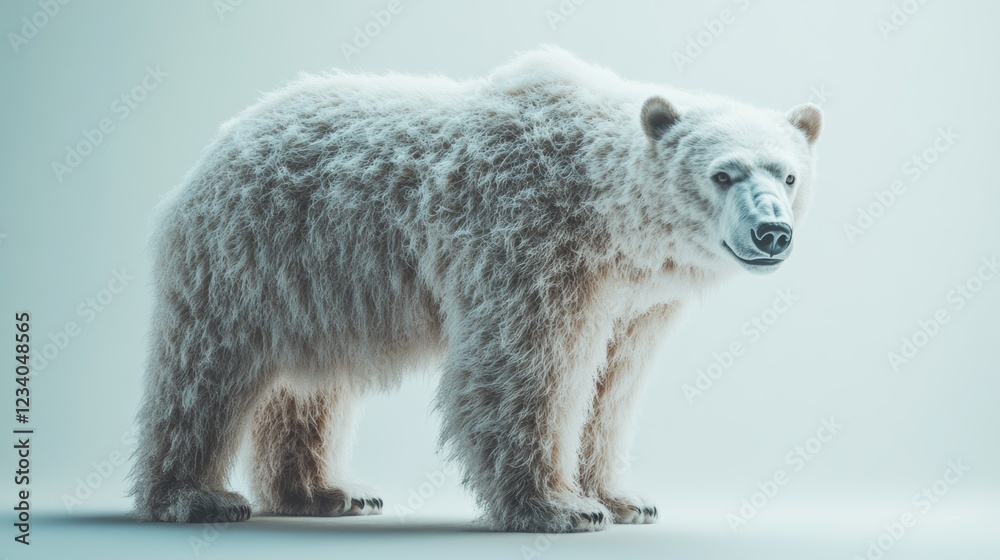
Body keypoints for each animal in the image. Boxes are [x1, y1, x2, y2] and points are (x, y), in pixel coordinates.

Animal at [129, 46, 821, 533]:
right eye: (724, 173)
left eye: (788, 175)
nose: (772, 232)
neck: (602, 205)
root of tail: (219, 143)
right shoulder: (529, 241)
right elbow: (526, 368)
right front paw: (562, 507)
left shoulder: (634, 297)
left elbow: (611, 386)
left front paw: (624, 498)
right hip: (249, 257)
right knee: (206, 371)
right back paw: (196, 497)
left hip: (321, 286)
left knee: (309, 385)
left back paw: (331, 491)